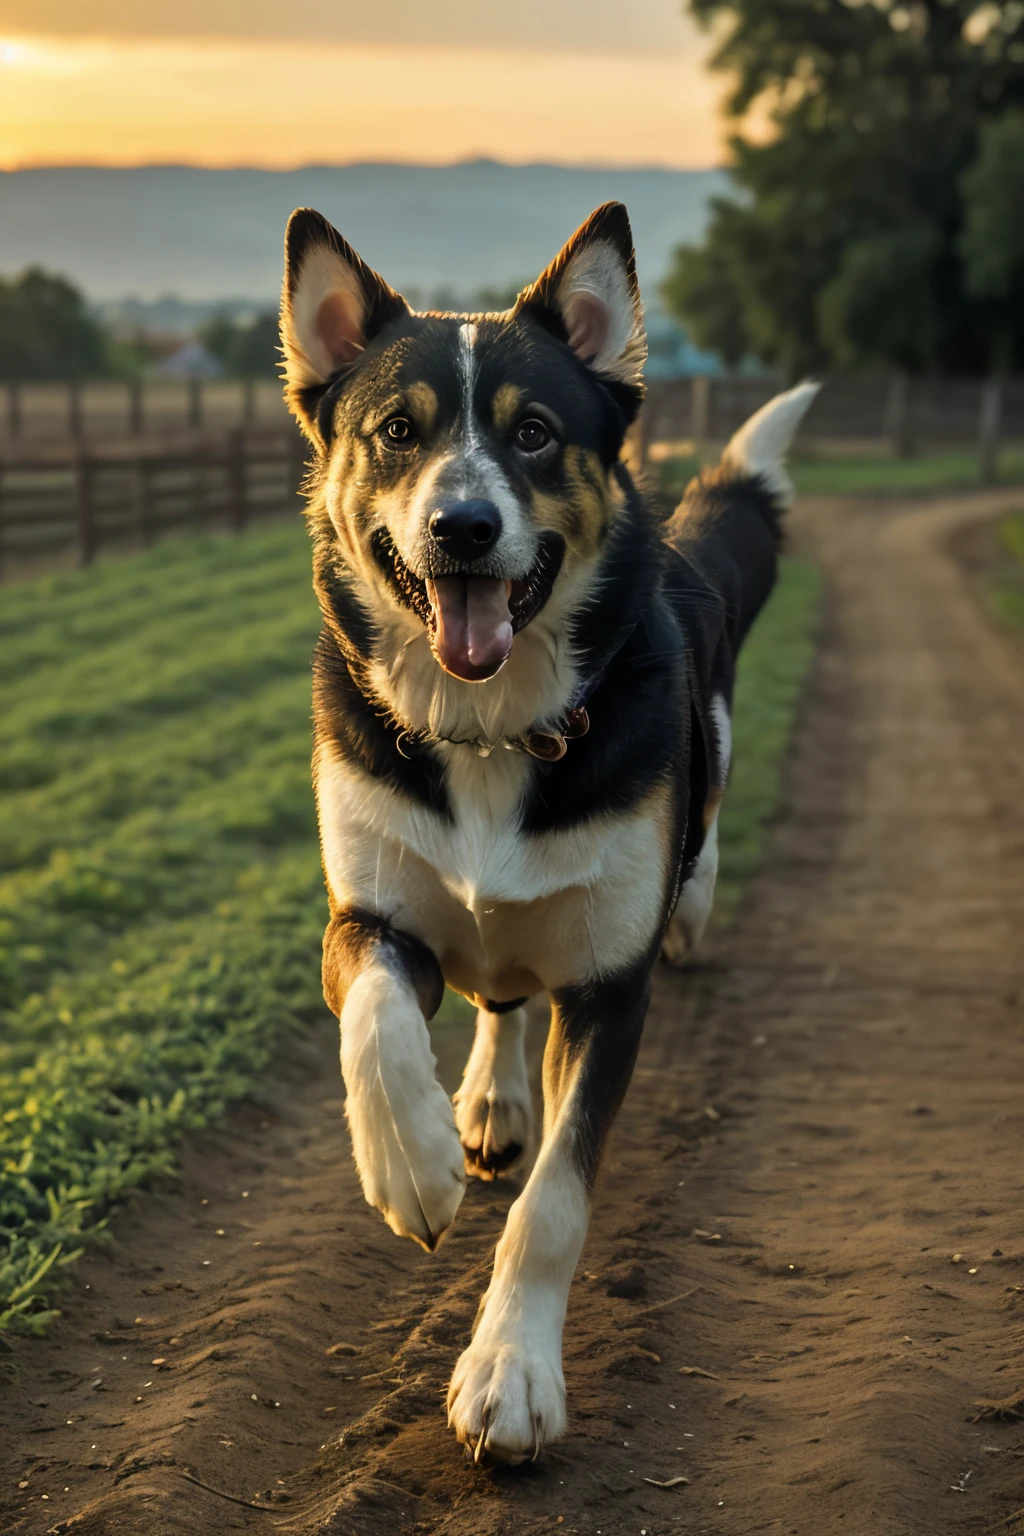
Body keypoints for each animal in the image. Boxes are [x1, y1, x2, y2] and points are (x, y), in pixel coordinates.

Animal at [277, 201, 816, 1462]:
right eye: (396, 431)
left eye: (532, 434)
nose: (464, 526)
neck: (489, 732)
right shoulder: (368, 911)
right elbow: (377, 1022)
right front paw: (414, 1163)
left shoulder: (610, 990)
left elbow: (556, 1204)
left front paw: (510, 1377)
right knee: (497, 996)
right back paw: (485, 1104)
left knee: (698, 825)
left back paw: (690, 906)